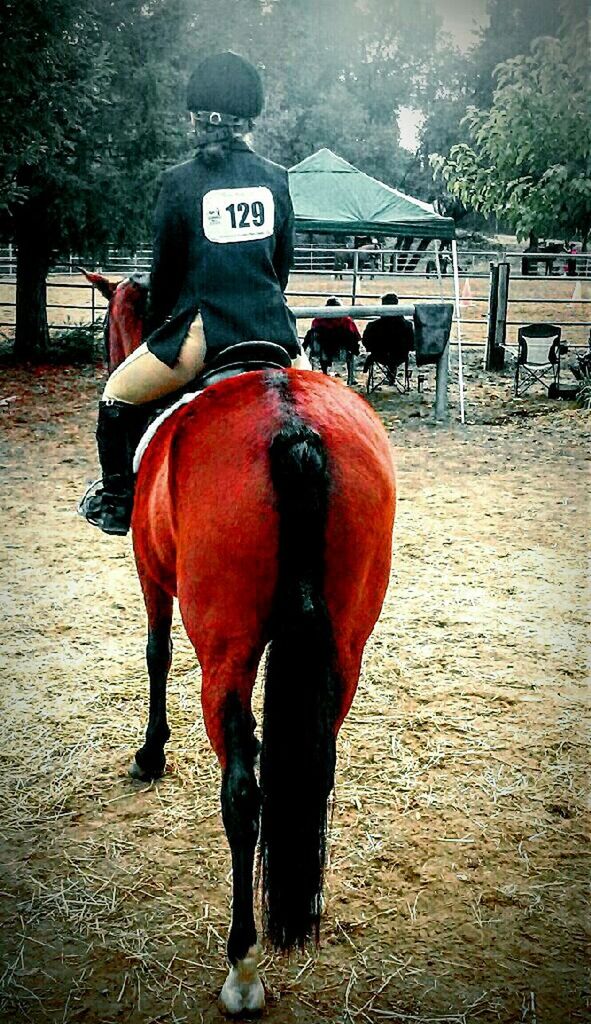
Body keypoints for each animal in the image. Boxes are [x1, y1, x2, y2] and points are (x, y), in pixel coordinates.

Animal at [91, 272, 397, 1015]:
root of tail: (291, 422)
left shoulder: (150, 569)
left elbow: (155, 655)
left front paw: (150, 755)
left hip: (225, 652)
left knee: (242, 796)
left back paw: (243, 966)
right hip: (343, 650)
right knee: (314, 769)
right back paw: (302, 903)